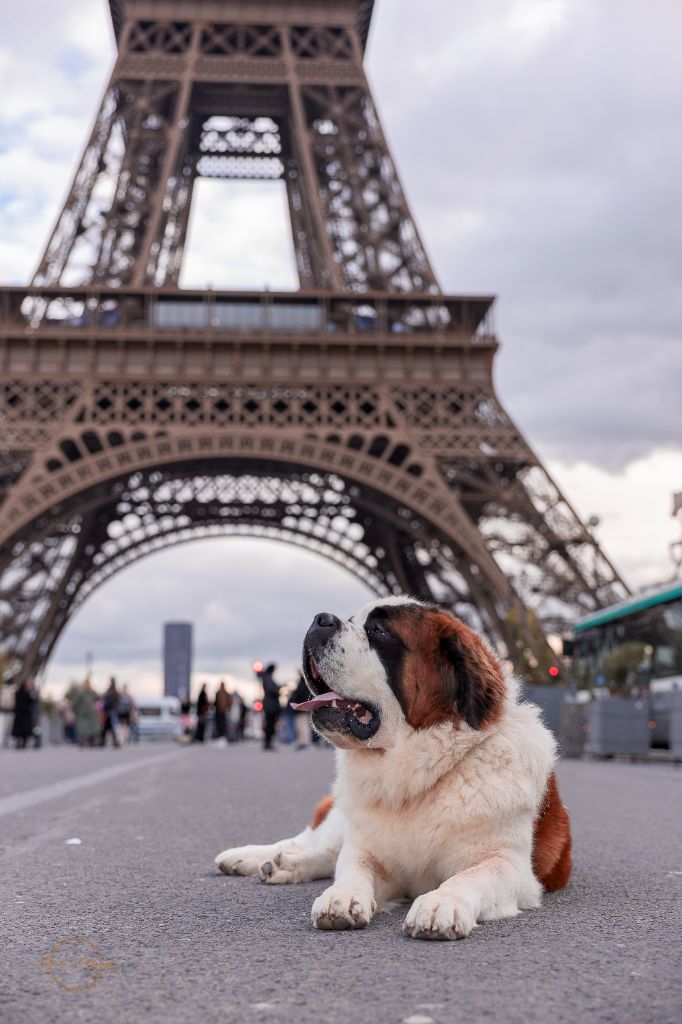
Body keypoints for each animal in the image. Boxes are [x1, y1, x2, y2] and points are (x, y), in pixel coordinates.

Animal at [214, 598, 569, 937]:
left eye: (379, 632)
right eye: (353, 619)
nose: (321, 619)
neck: (417, 777)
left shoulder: (512, 866)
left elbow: (473, 875)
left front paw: (441, 903)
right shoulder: (372, 851)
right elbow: (354, 866)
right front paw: (342, 896)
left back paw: (283, 865)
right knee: (314, 845)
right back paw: (252, 858)